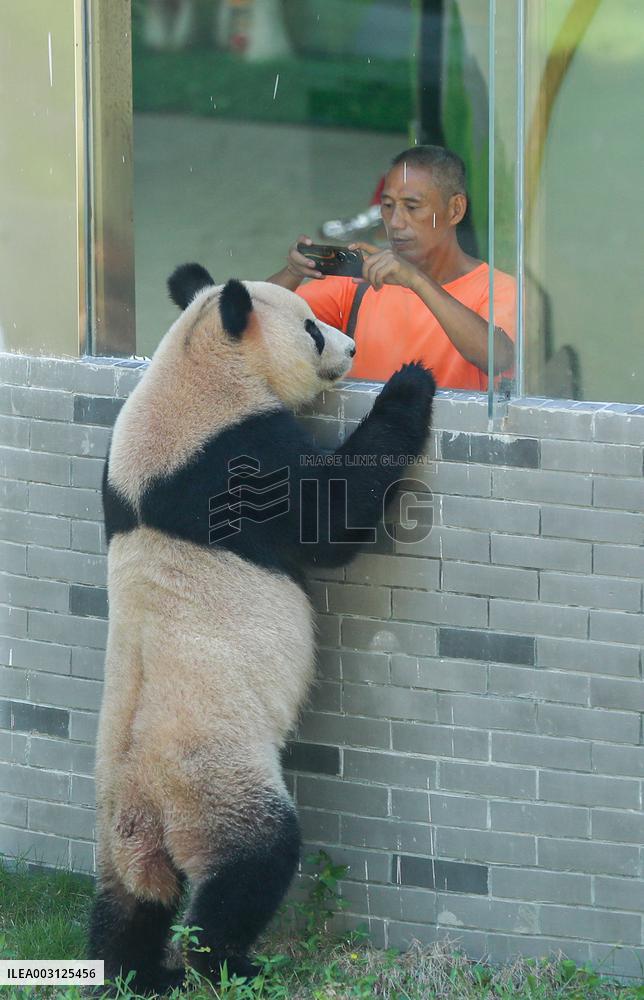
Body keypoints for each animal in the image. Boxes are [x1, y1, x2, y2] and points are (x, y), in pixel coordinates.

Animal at [89, 264, 436, 993]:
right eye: (311, 328)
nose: (353, 348)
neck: (195, 365)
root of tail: (149, 806)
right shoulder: (236, 461)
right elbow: (329, 518)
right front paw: (409, 384)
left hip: (112, 820)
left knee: (128, 903)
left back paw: (134, 974)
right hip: (217, 781)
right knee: (250, 867)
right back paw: (228, 964)